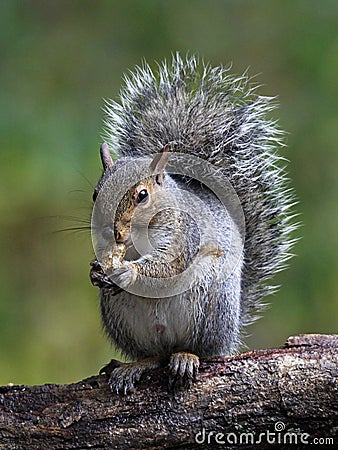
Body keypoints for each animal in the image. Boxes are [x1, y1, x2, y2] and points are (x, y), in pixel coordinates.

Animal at [88, 54, 294, 394]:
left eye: (142, 195)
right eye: (95, 193)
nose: (111, 231)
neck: (133, 246)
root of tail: (231, 332)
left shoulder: (184, 235)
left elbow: (168, 265)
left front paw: (128, 272)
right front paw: (95, 270)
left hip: (209, 301)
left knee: (200, 350)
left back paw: (187, 357)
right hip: (125, 320)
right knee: (156, 355)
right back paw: (134, 366)